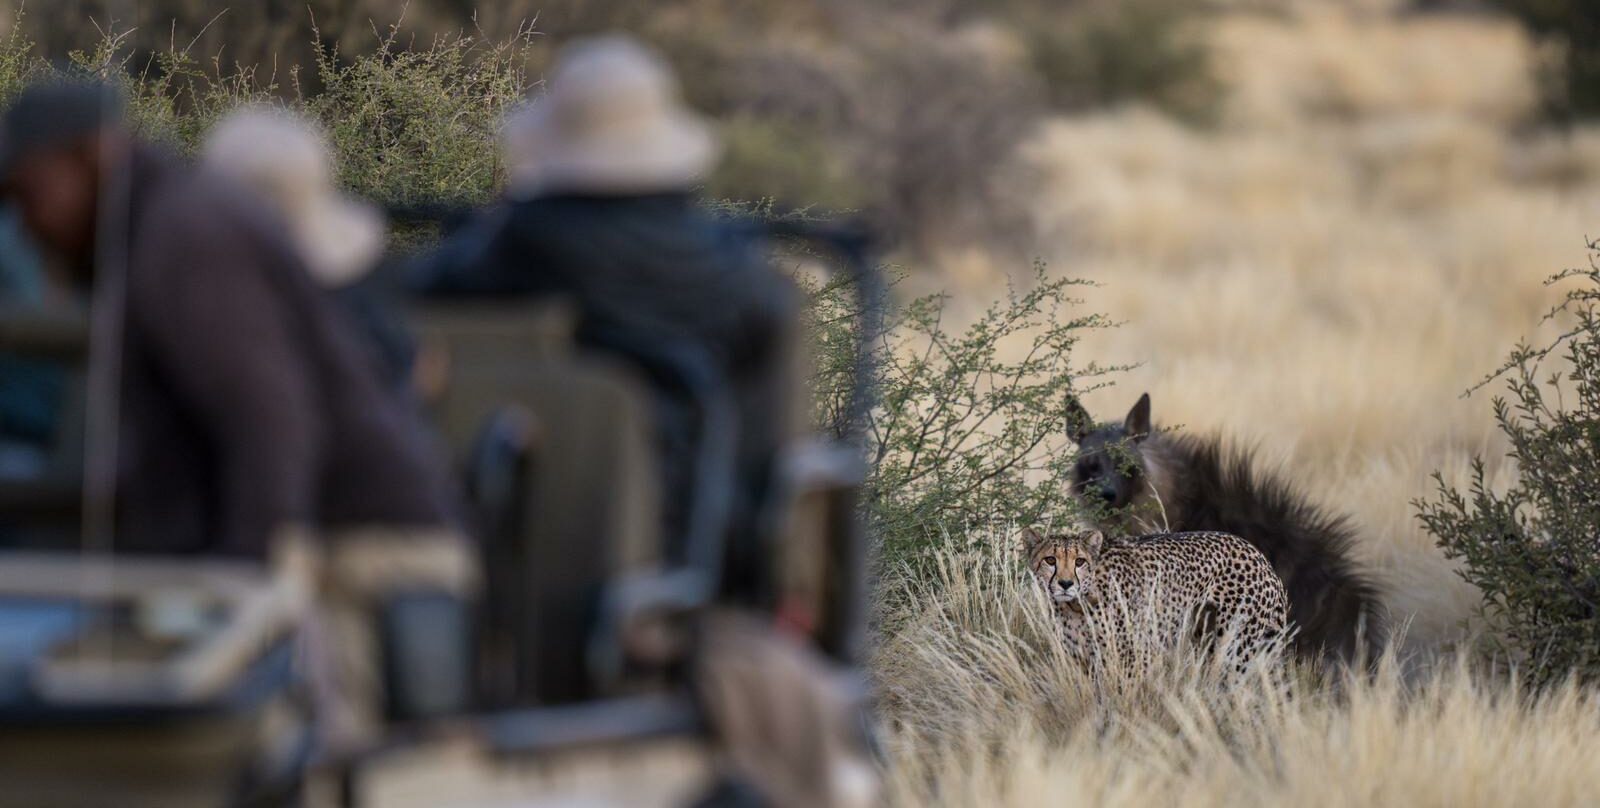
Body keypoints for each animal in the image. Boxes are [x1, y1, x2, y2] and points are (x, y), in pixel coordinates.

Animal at [1024, 521, 1286, 668]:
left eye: (1079, 561)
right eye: (1050, 560)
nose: (1066, 584)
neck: (1077, 603)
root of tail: (1258, 553)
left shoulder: (1130, 655)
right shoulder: (1081, 658)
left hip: (1236, 645)